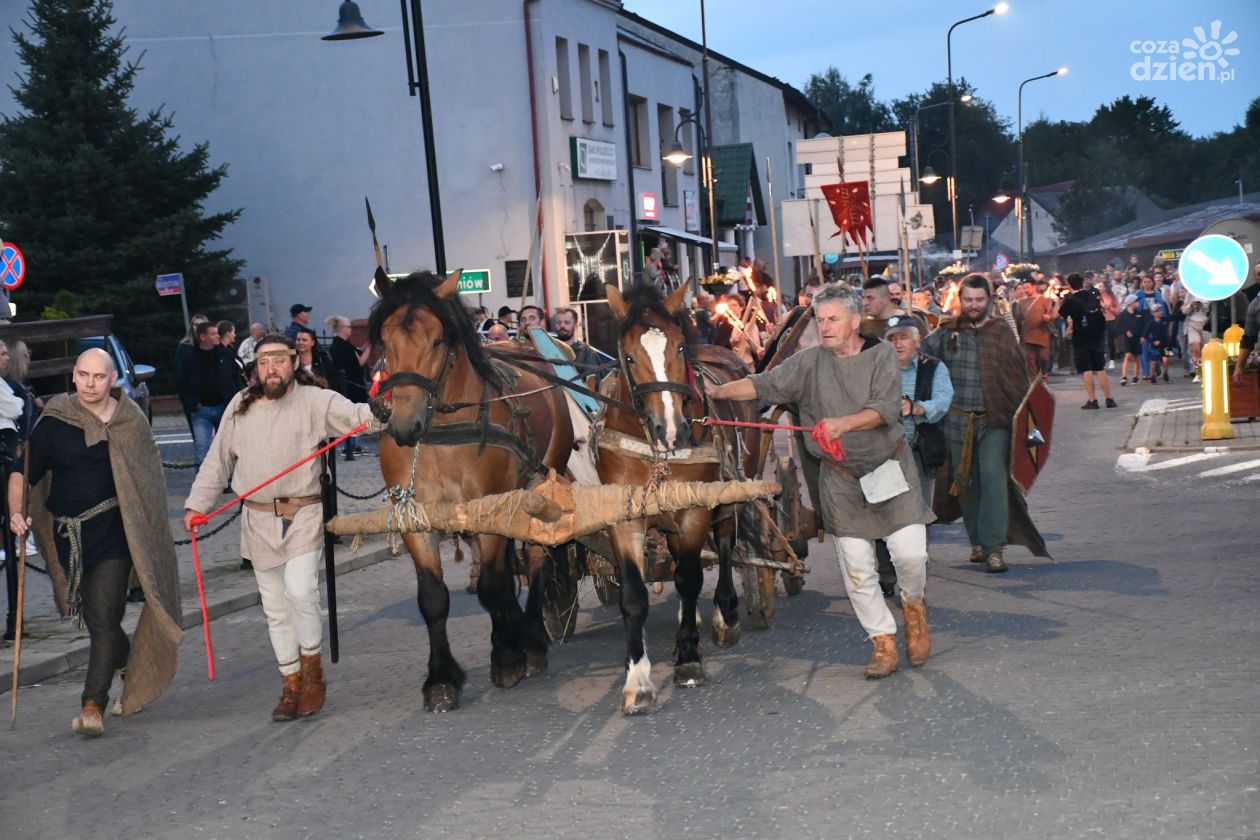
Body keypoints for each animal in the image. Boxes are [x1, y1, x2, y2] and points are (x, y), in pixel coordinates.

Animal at [367, 269, 577, 710]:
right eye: (387, 342)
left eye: (437, 340)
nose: (404, 425)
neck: (441, 435)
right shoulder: (416, 519)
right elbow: (433, 597)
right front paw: (441, 679)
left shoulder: (490, 508)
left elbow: (494, 585)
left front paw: (508, 657)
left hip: (539, 485)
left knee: (536, 560)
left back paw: (531, 638)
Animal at [597, 282, 761, 715]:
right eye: (629, 356)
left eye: (679, 347)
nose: (672, 430)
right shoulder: (625, 517)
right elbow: (633, 596)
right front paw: (638, 680)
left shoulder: (694, 510)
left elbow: (689, 578)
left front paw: (689, 657)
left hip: (734, 489)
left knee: (725, 542)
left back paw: (724, 613)